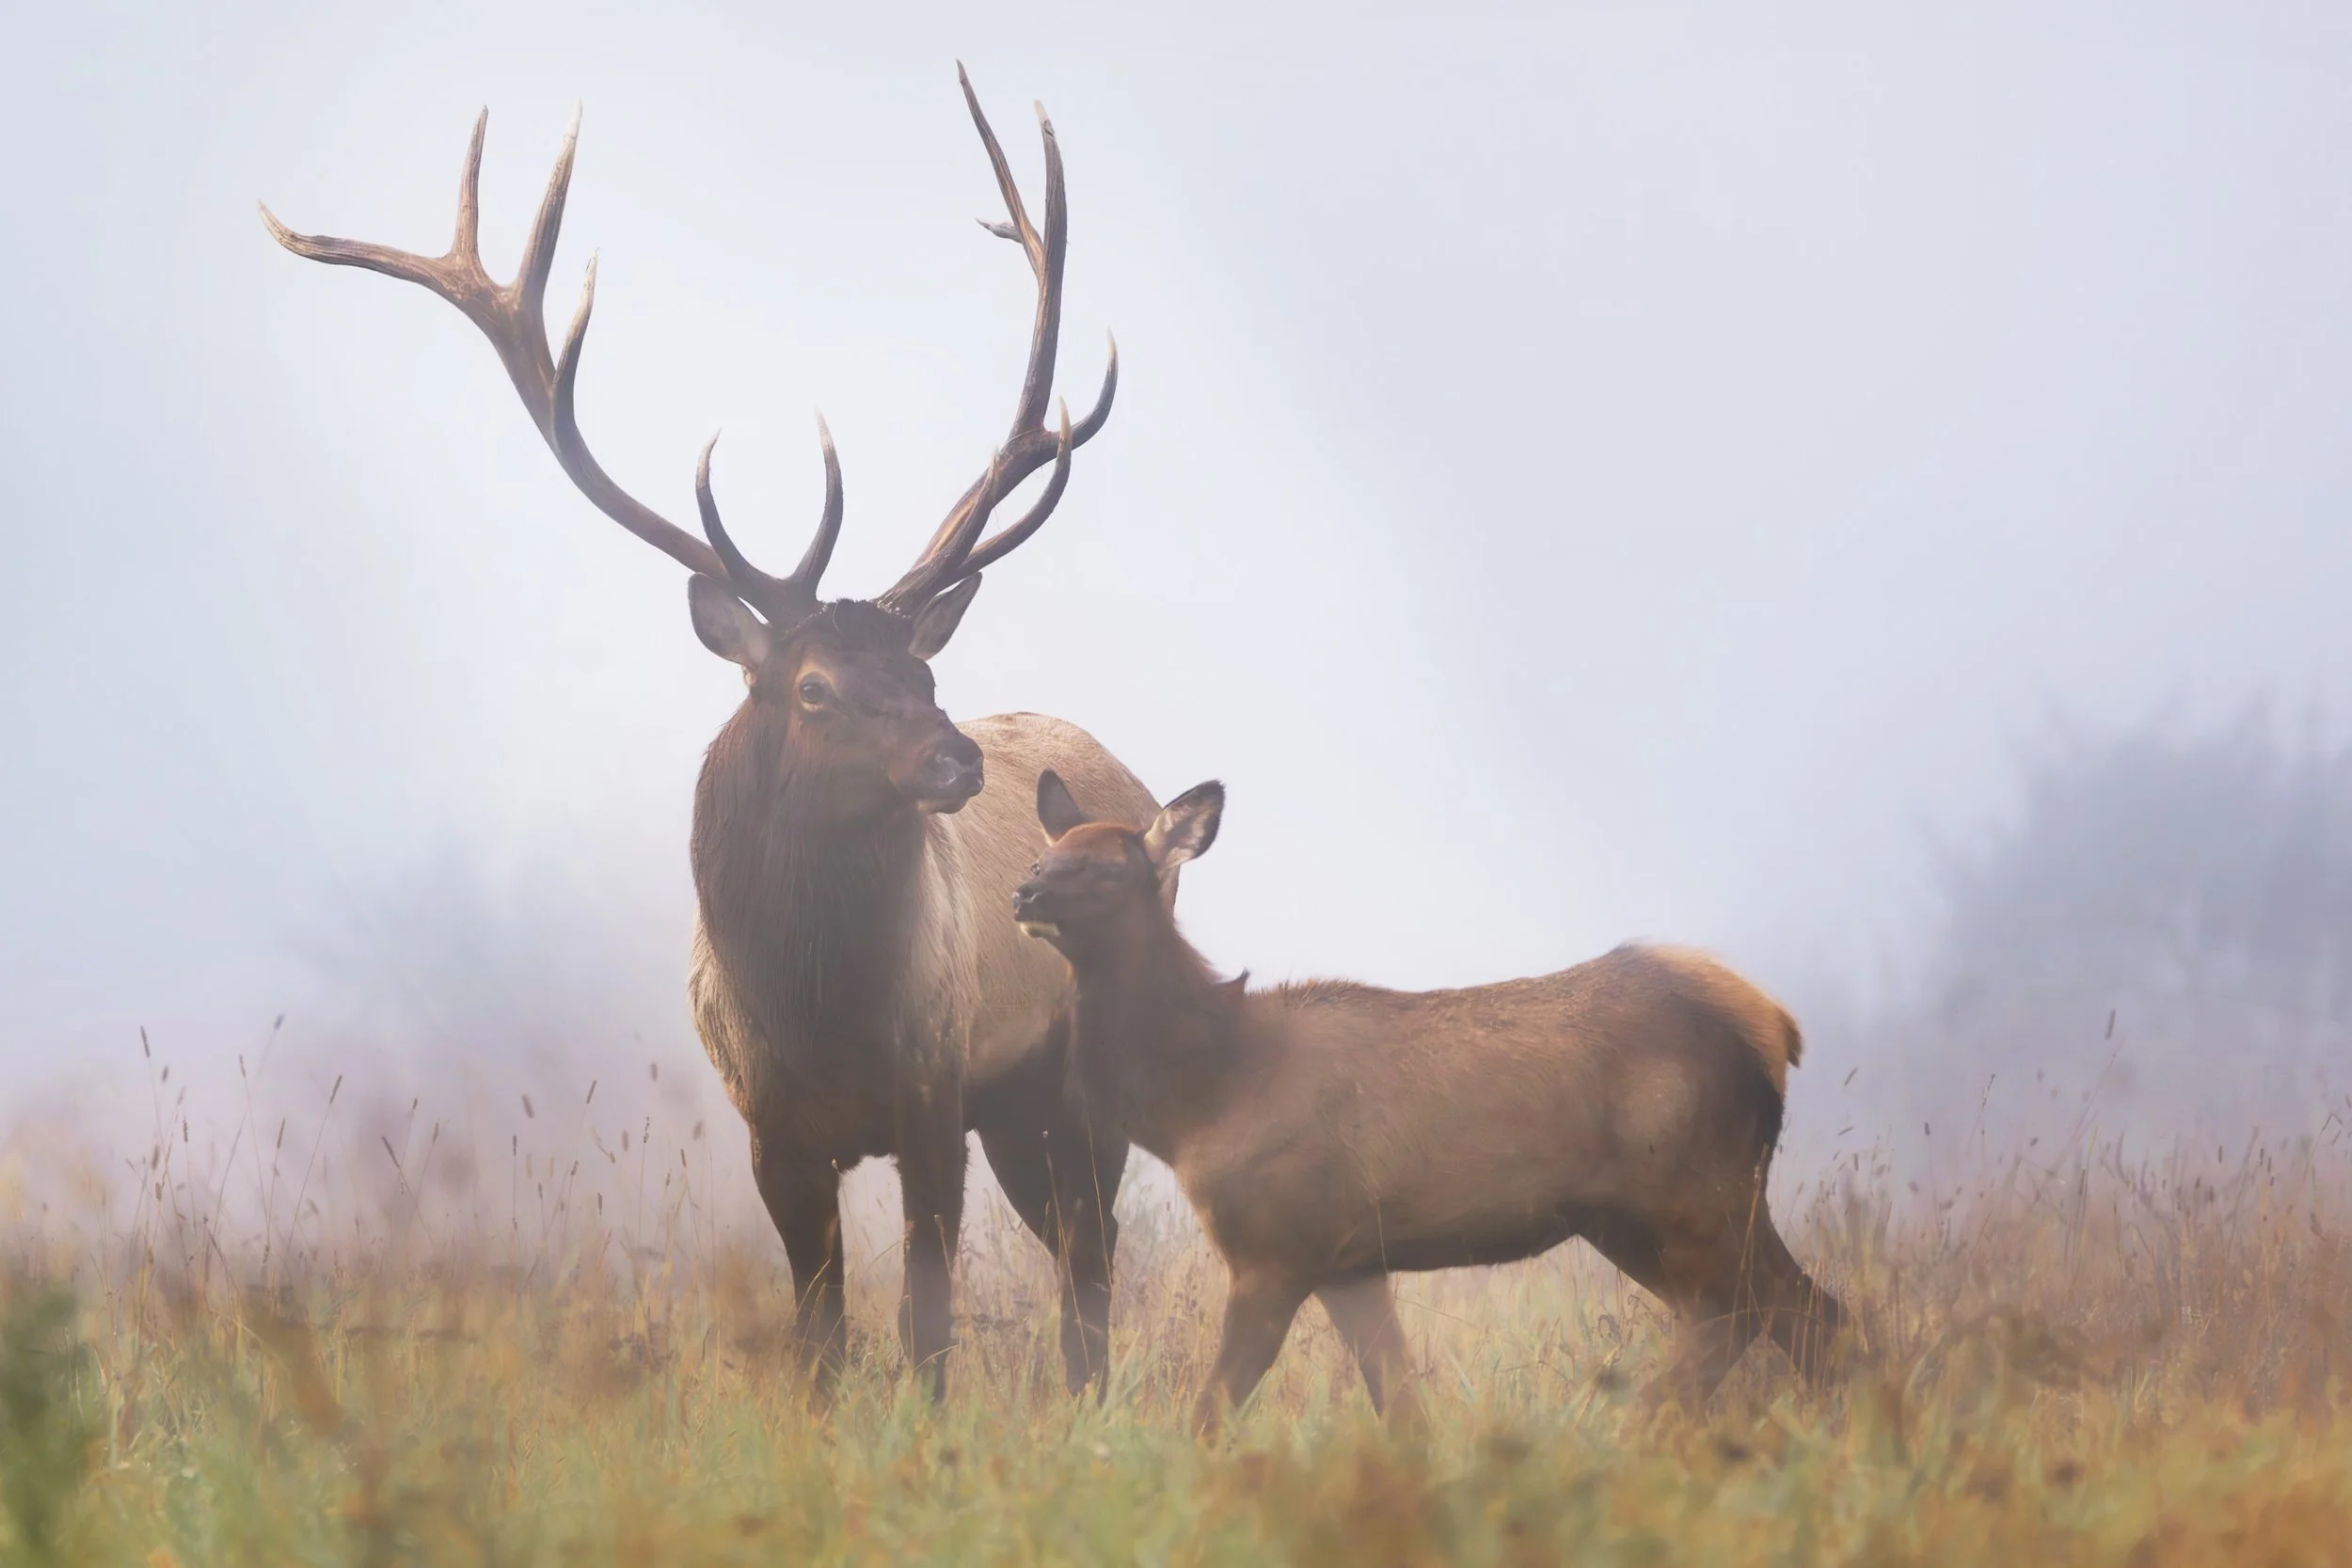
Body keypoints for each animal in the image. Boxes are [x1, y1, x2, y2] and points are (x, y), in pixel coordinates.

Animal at [262, 69, 1154, 1401]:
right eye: (815, 688)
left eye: (925, 665)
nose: (957, 758)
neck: (820, 1007)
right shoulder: (772, 1130)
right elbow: (820, 1342)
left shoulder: (933, 1089)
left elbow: (927, 1330)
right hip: (1017, 1112)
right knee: (1080, 1258)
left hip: (1067, 1072)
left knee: (1094, 1262)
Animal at [1014, 771, 1845, 1433]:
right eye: (1044, 853)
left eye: (1107, 867)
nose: (1024, 890)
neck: (1200, 1100)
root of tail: (1775, 1027)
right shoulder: (1347, 1261)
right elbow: (1402, 1403)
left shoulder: (1274, 1242)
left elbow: (1213, 1410)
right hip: (1640, 1216)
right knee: (1759, 1315)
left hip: (1700, 1189)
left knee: (1791, 1311)